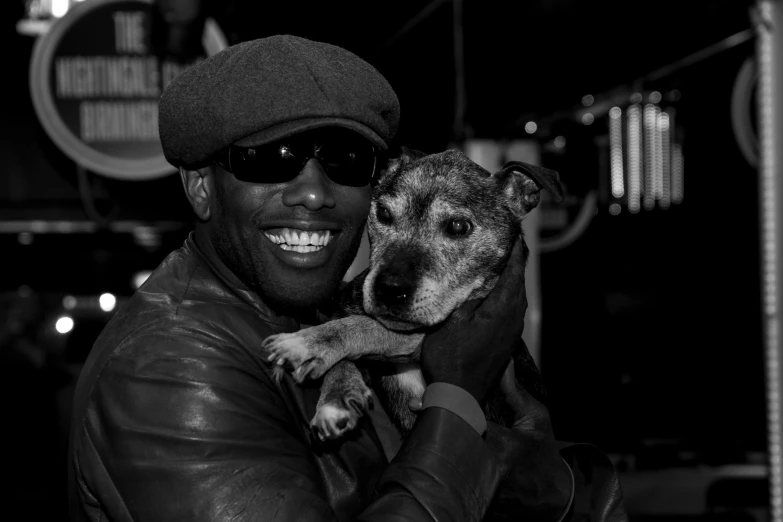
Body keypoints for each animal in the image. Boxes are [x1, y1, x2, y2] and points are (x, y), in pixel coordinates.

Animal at [264, 146, 564, 438]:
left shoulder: (433, 336)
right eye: (383, 213)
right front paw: (336, 397)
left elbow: (364, 326)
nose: (388, 289)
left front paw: (305, 343)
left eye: (458, 226)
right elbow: (350, 331)